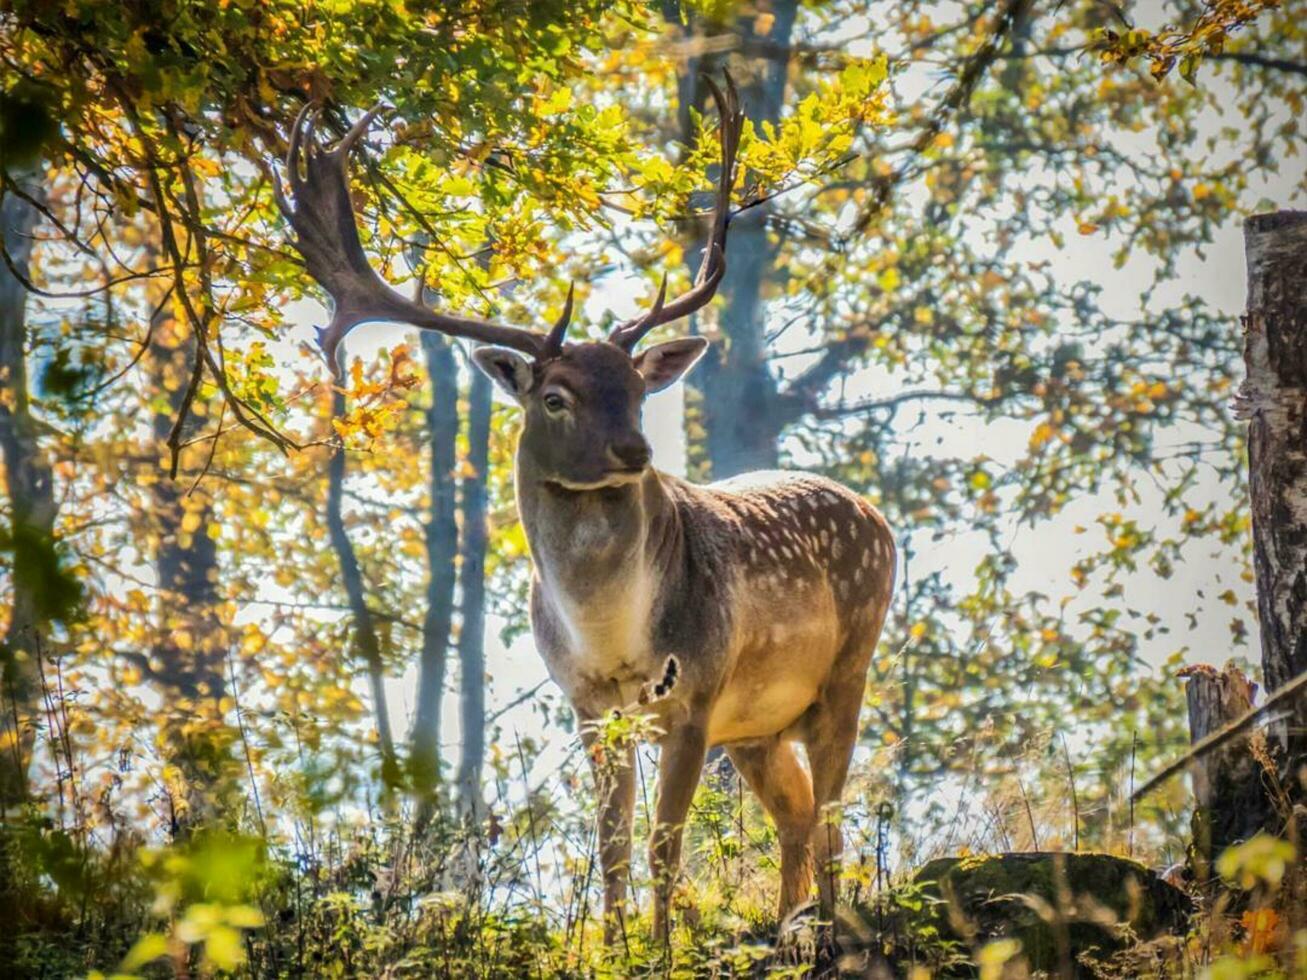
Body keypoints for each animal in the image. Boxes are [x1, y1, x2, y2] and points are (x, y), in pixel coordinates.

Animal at [275, 78, 899, 951]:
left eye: (636, 388)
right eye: (555, 397)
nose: (636, 450)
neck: (609, 636)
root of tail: (876, 515)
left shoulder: (694, 692)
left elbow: (664, 842)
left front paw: (661, 950)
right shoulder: (588, 708)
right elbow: (609, 843)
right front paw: (614, 944)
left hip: (848, 664)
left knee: (836, 806)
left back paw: (829, 927)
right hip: (758, 725)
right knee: (799, 812)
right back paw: (787, 925)